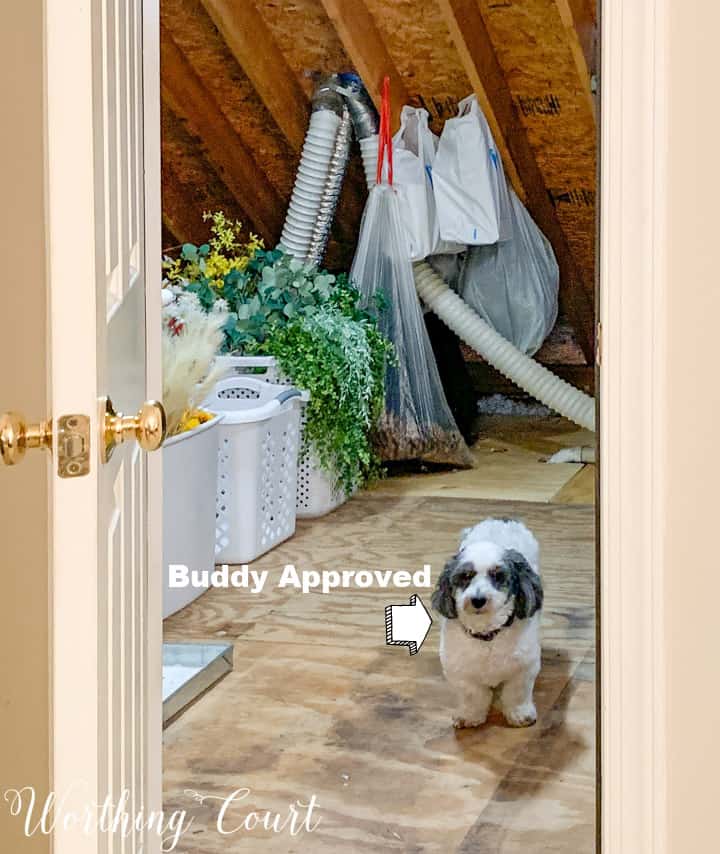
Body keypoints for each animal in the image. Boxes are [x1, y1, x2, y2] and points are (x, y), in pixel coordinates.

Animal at [430, 520, 544, 732]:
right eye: (466, 576)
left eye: (498, 576)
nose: (478, 599)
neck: (488, 635)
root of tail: (500, 519)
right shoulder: (461, 673)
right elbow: (473, 697)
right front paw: (469, 716)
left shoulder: (523, 669)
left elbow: (516, 694)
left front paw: (520, 715)